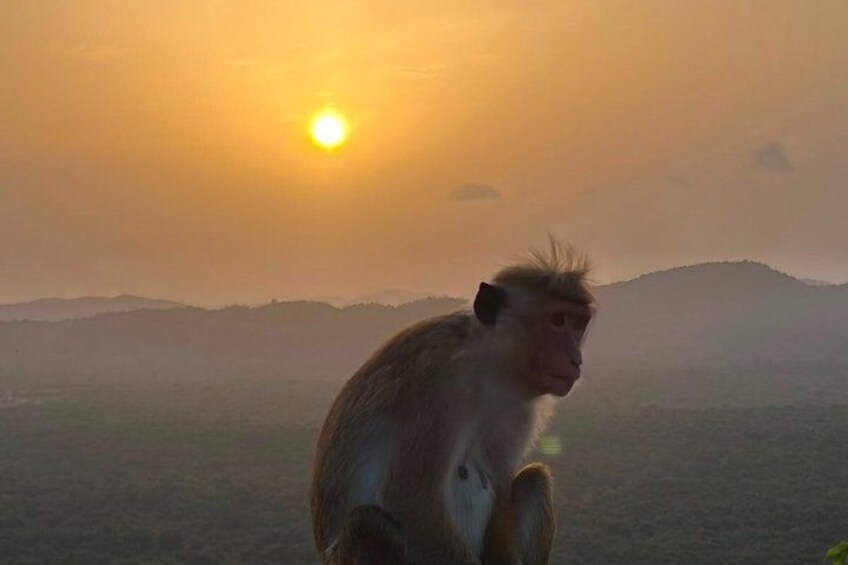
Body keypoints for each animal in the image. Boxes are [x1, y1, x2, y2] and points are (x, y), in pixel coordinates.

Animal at [310, 241, 594, 565]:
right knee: (367, 522)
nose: (575, 359)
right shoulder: (435, 383)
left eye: (578, 325)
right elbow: (414, 503)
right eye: (558, 321)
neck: (487, 365)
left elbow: (502, 493)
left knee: (534, 479)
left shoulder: (519, 408)